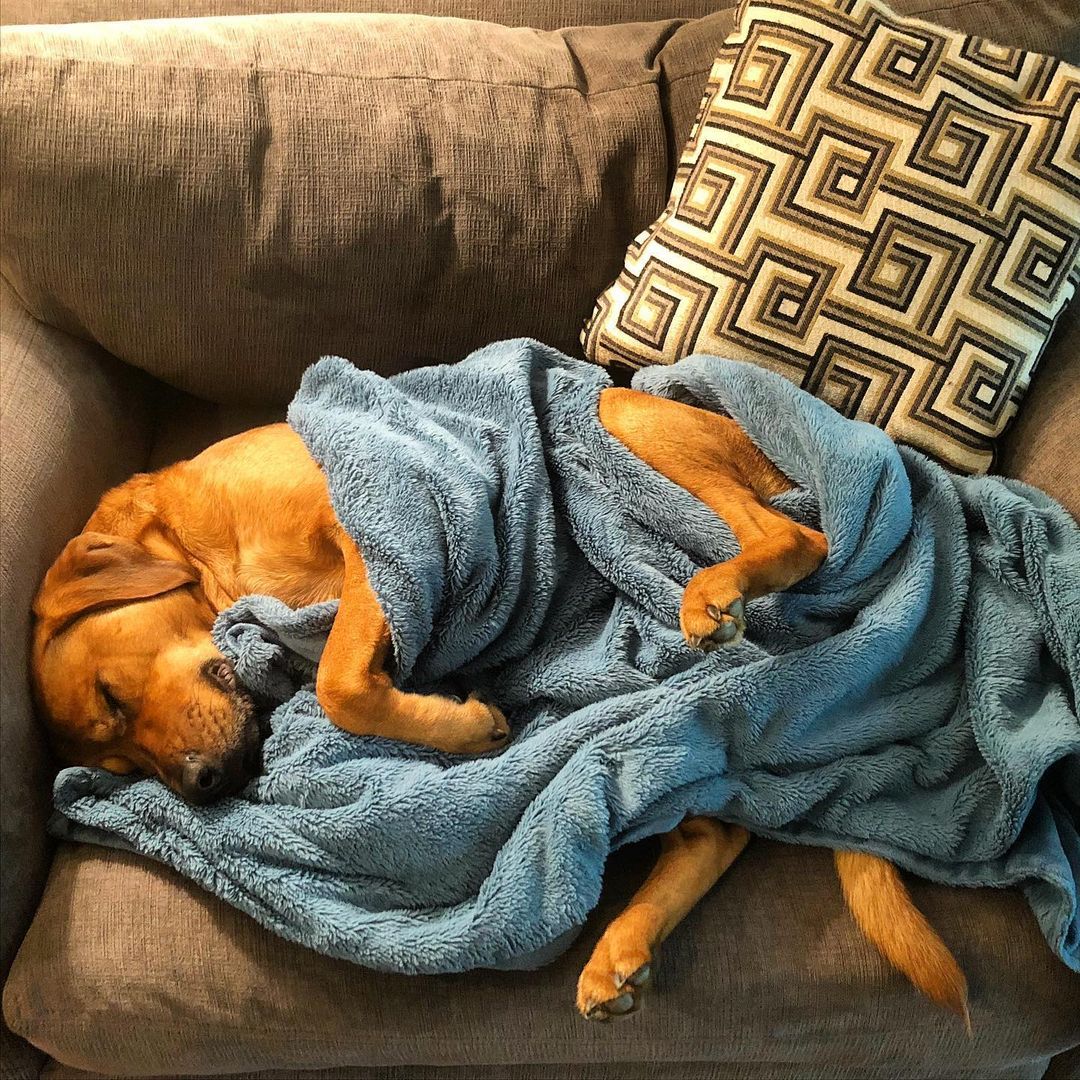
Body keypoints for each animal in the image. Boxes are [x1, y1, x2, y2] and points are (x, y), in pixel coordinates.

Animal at [29, 384, 972, 1023]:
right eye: (118, 761)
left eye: (113, 697)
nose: (204, 785)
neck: (198, 547)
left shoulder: (373, 525)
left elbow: (340, 684)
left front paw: (464, 724)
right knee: (715, 822)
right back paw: (622, 948)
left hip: (625, 419)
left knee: (798, 538)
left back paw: (716, 591)